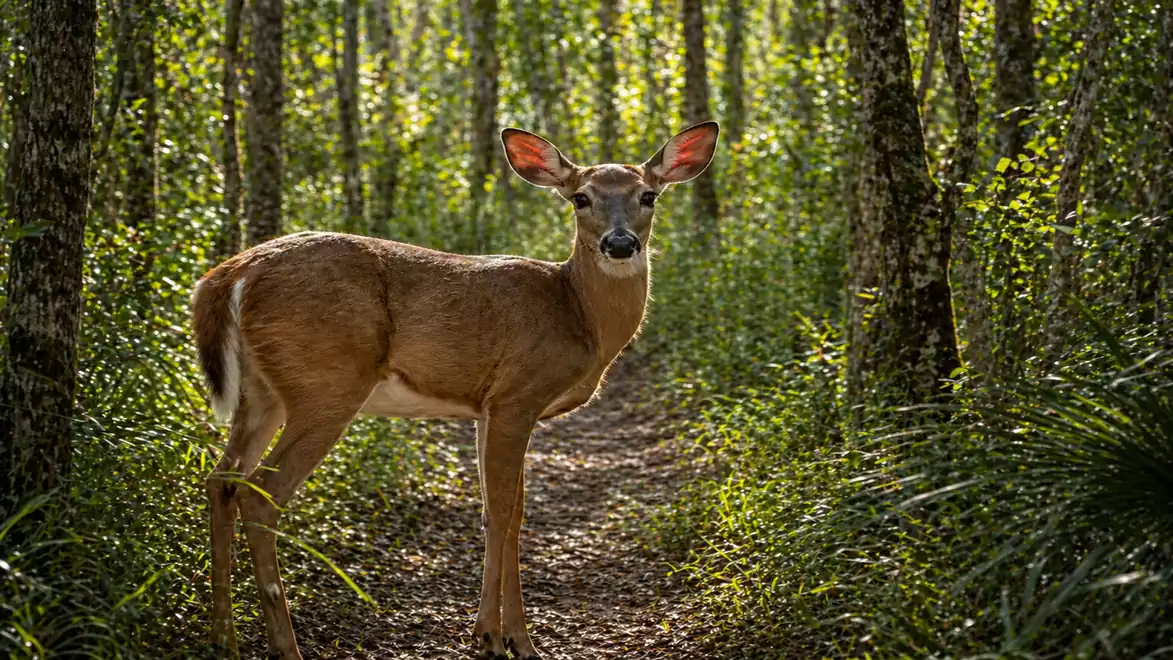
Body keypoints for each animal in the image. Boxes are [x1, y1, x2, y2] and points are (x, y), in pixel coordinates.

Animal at [193, 121, 719, 659]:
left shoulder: (487, 409)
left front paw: (508, 637)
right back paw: (285, 646)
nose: (620, 243)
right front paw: (499, 638)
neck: (577, 314)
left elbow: (506, 512)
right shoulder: (517, 395)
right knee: (260, 493)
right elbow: (504, 513)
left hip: (262, 392)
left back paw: (222, 638)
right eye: (581, 198)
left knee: (221, 480)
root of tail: (232, 275)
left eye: (648, 195)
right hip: (326, 383)